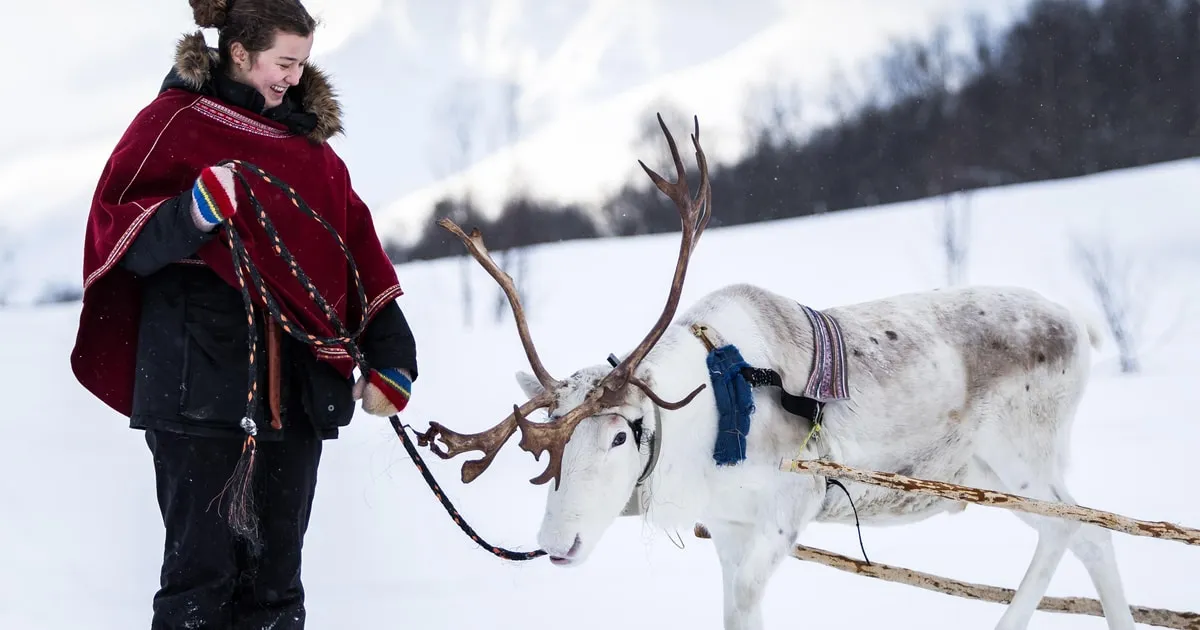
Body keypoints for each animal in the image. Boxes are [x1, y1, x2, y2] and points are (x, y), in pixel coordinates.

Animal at [418, 114, 1139, 630]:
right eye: (548, 454)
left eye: (621, 434)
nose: (555, 541)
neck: (706, 427)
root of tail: (1079, 324)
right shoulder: (730, 530)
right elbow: (739, 616)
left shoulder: (791, 509)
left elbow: (743, 608)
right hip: (986, 475)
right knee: (1081, 536)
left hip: (1023, 458)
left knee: (1086, 531)